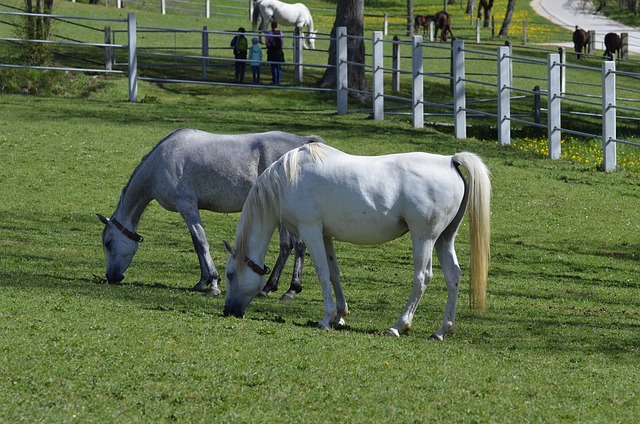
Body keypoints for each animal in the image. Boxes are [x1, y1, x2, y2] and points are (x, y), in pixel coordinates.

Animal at [97, 129, 322, 298]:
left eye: (108, 243)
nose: (111, 277)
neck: (161, 161)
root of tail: (302, 143)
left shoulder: (186, 205)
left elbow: (201, 241)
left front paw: (213, 282)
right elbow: (197, 244)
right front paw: (203, 281)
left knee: (296, 246)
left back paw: (290, 289)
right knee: (288, 247)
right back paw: (271, 287)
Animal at [222, 143, 492, 342]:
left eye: (230, 274)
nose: (228, 311)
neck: (288, 178)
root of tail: (450, 160)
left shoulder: (310, 231)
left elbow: (322, 273)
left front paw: (326, 319)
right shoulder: (325, 235)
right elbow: (334, 273)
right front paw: (339, 316)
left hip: (423, 238)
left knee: (422, 278)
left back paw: (398, 326)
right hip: (443, 240)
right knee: (453, 277)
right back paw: (442, 330)